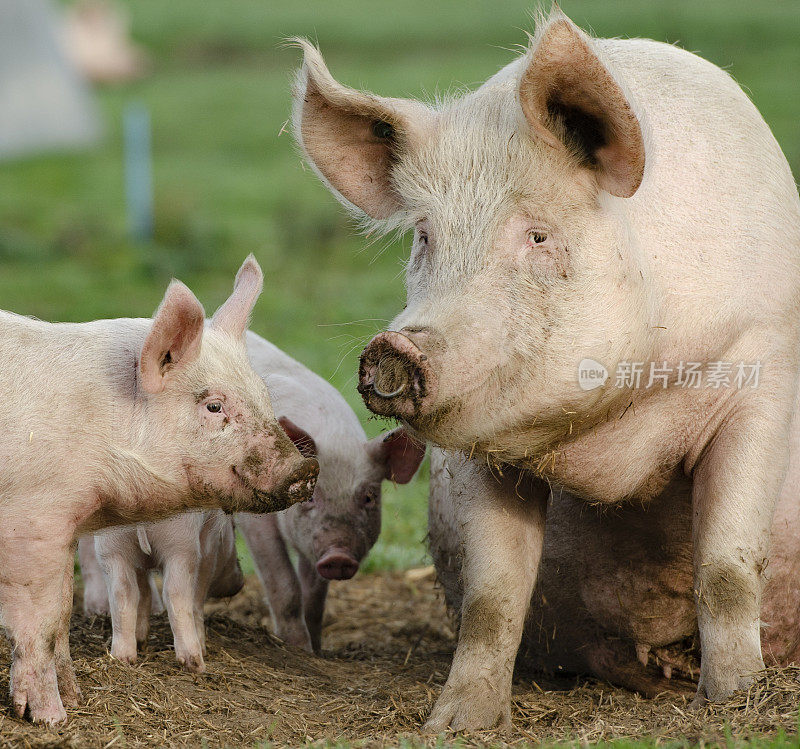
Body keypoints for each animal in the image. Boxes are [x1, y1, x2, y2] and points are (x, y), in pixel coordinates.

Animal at [0, 258, 318, 724]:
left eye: (263, 395)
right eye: (214, 406)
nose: (307, 467)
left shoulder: (66, 526)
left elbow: (60, 614)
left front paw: (75, 701)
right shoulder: (31, 522)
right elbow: (37, 626)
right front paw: (52, 720)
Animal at [236, 334, 428, 656]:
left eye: (369, 497)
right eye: (310, 496)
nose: (338, 555)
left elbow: (314, 597)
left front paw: (316, 652)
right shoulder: (253, 518)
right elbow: (284, 583)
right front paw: (297, 649)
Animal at [292, 5, 800, 732]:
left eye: (537, 236)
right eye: (425, 237)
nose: (396, 349)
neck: (615, 440)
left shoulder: (758, 373)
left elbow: (727, 567)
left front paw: (735, 705)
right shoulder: (480, 451)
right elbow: (493, 594)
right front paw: (456, 725)